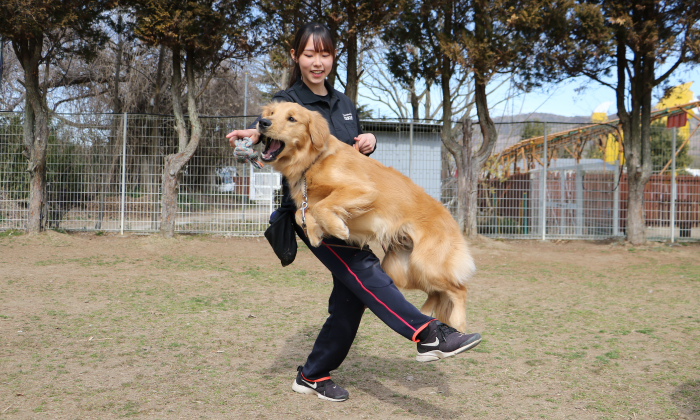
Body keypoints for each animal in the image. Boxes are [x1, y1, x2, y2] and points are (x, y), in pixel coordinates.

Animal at [256, 101, 476, 332]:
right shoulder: (310, 199)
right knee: (437, 292)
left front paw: (337, 228)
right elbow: (302, 212)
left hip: (426, 265)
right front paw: (315, 234)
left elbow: (322, 206)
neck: (315, 159)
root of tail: (452, 219)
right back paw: (427, 314)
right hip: (401, 270)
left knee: (460, 289)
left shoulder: (362, 189)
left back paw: (458, 324)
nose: (263, 122)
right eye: (272, 113)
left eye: (291, 119)